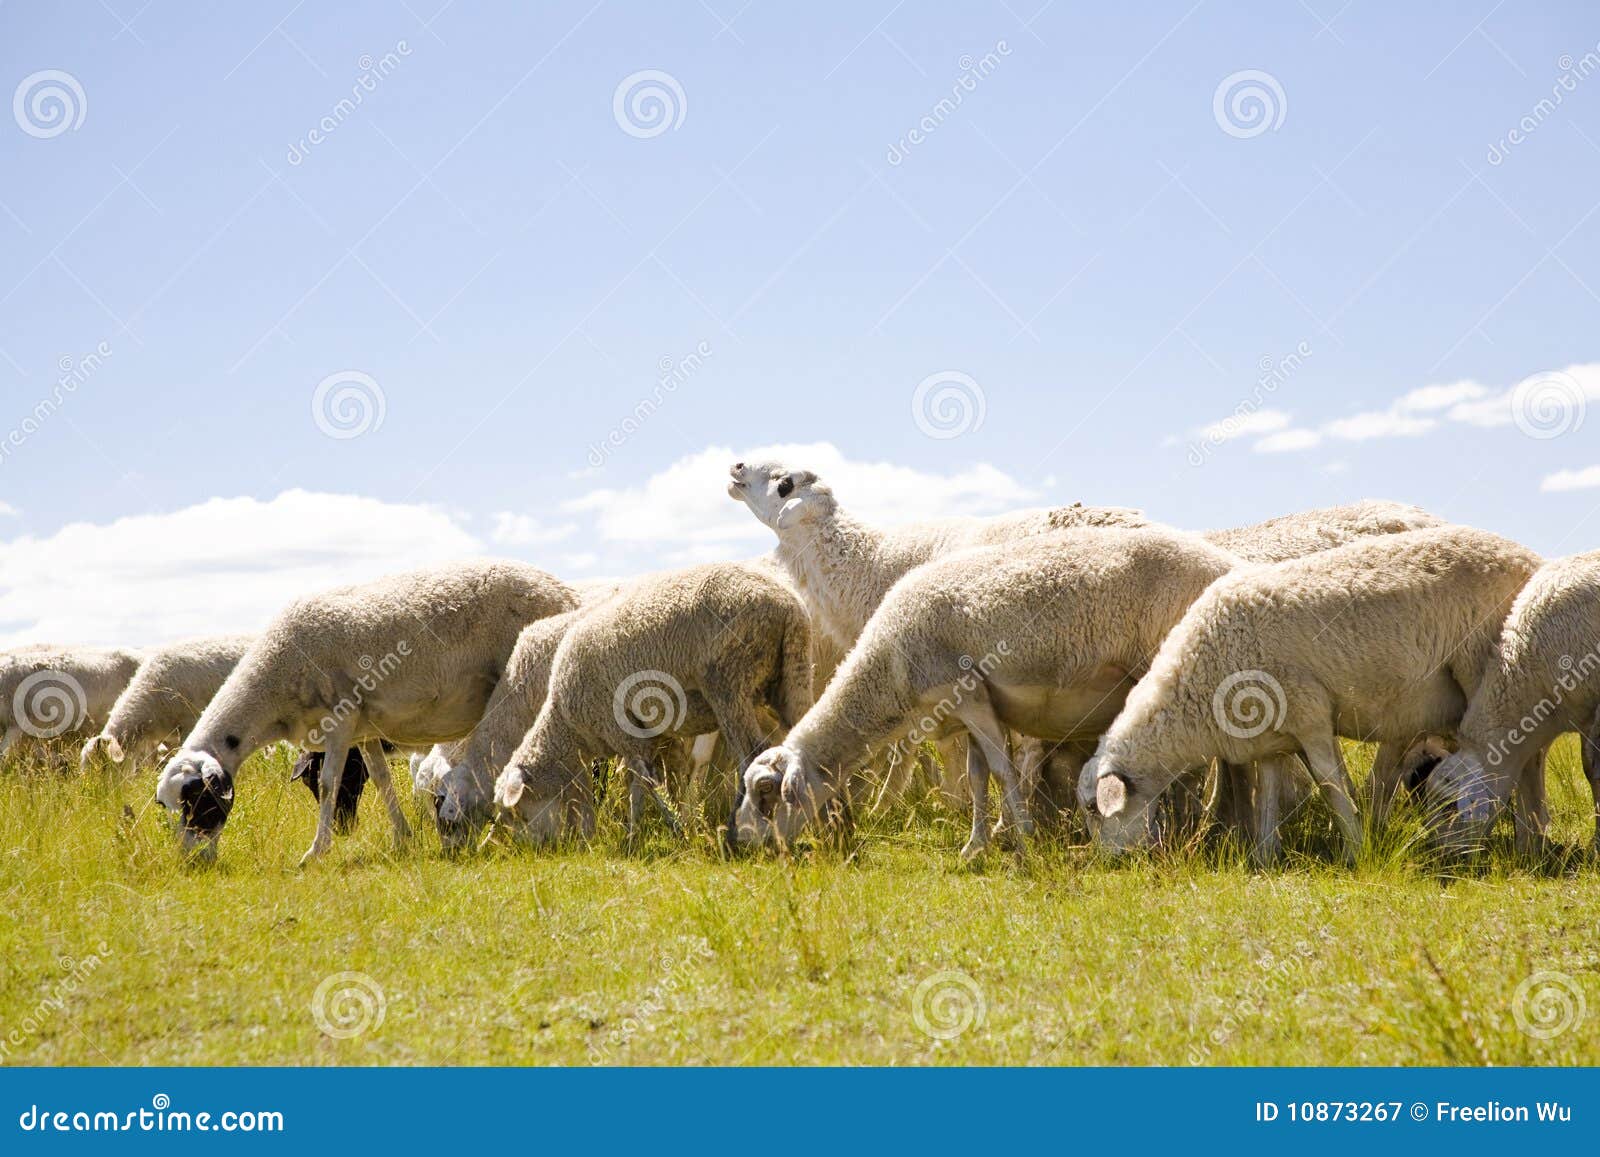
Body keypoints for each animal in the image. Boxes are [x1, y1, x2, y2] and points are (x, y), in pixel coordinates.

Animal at [155, 559, 579, 861]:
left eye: (197, 800)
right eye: (167, 806)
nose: (192, 860)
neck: (274, 682)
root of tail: (565, 591)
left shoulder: (340, 717)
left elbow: (329, 783)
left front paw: (315, 852)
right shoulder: (365, 727)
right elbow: (381, 778)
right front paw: (402, 838)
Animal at [493, 561, 813, 845]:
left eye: (519, 814)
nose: (533, 848)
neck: (569, 725)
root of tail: (787, 606)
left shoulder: (622, 732)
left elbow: (647, 785)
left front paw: (664, 832)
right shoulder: (647, 738)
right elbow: (648, 785)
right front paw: (647, 833)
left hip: (729, 682)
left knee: (752, 754)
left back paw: (739, 831)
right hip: (791, 675)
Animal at [734, 526, 1241, 859]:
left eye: (765, 793)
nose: (740, 841)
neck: (889, 669)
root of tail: (1228, 563)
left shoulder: (969, 694)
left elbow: (1001, 771)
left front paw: (1024, 837)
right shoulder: (969, 710)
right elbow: (977, 777)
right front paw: (976, 844)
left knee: (1205, 764)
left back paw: (1194, 830)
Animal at [1088, 526, 1544, 862]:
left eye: (1094, 812)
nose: (1107, 863)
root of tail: (1527, 556)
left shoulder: (1308, 713)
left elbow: (1329, 782)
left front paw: (1356, 850)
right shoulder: (1270, 736)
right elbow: (1267, 794)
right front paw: (1264, 856)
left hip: (1494, 673)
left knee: (1526, 753)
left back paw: (1525, 840)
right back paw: (1529, 842)